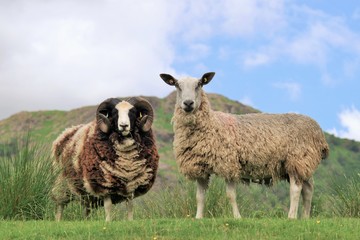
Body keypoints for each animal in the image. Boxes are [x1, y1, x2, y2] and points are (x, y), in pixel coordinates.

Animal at [160, 71, 330, 219]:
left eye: (199, 84)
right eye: (177, 85)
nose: (188, 103)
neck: (212, 124)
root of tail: (318, 131)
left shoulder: (228, 164)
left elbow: (230, 195)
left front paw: (237, 217)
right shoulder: (200, 167)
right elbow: (199, 196)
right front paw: (198, 218)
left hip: (297, 159)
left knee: (296, 189)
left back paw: (291, 217)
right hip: (303, 162)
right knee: (308, 189)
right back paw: (305, 217)